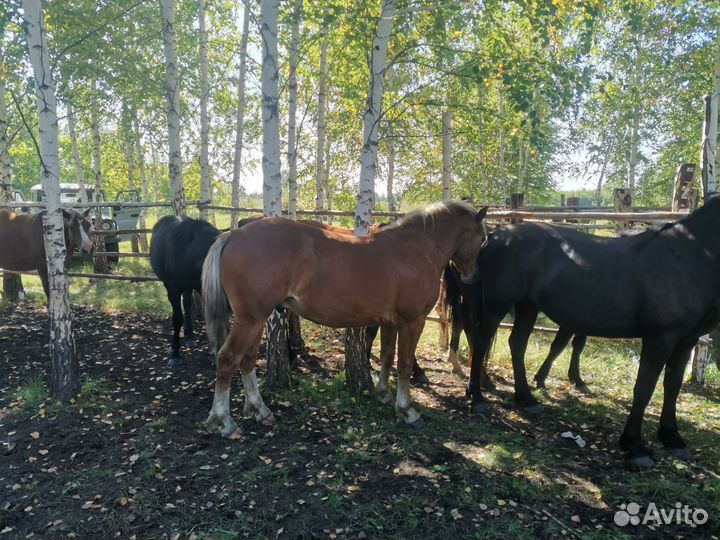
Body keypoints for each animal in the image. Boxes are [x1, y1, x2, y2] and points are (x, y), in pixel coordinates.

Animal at [150, 215, 220, 366]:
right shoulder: (173, 290)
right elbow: (177, 319)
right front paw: (175, 354)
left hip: (189, 287)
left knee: (187, 304)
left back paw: (190, 336)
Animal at [201, 201, 488, 437]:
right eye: (483, 239)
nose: (473, 278)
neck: (416, 248)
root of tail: (234, 234)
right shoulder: (412, 321)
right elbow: (404, 364)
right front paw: (406, 410)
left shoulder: (390, 322)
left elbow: (386, 356)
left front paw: (383, 395)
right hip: (250, 320)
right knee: (227, 359)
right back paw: (225, 421)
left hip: (256, 320)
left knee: (247, 360)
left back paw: (260, 410)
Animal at [463, 198, 720, 468]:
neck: (689, 257)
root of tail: (496, 236)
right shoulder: (660, 339)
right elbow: (644, 388)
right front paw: (634, 445)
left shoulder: (686, 340)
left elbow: (673, 387)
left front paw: (672, 438)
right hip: (497, 306)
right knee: (480, 343)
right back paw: (477, 398)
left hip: (527, 306)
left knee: (517, 344)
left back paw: (526, 399)